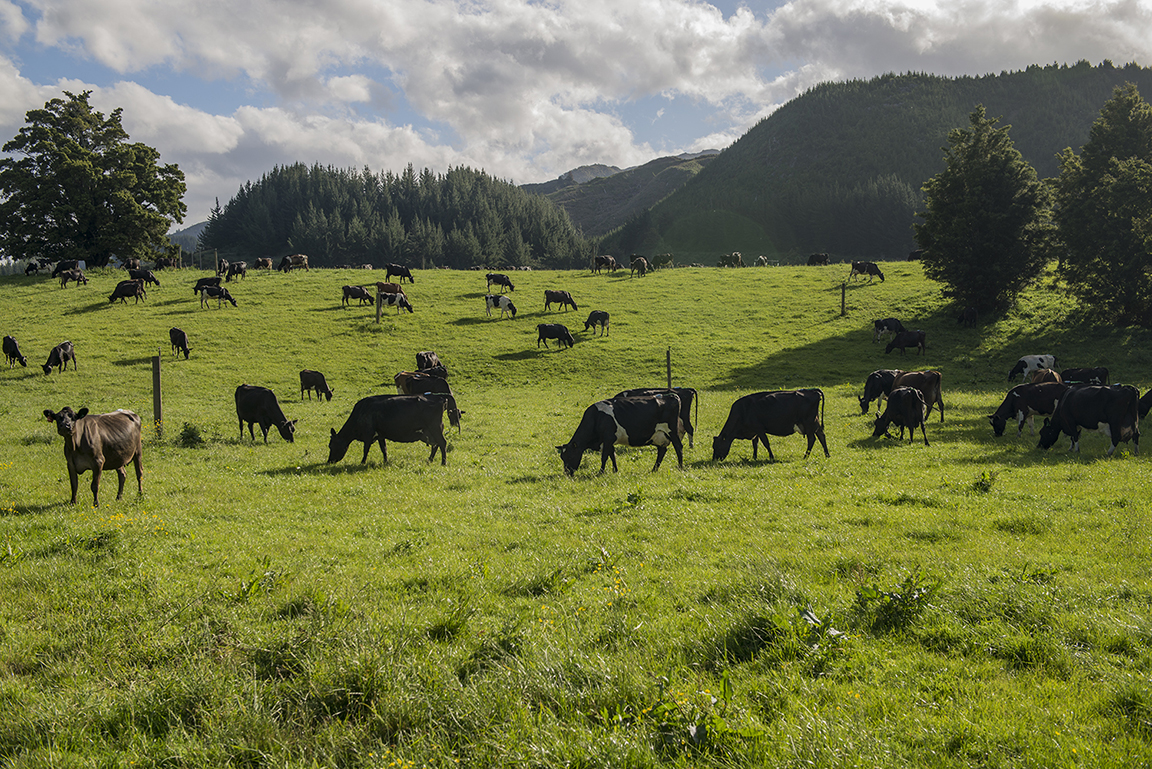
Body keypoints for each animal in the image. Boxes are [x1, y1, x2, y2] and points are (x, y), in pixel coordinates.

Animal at [327, 393, 456, 465]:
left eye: (331, 445)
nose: (329, 461)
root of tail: (440, 398)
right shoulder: (380, 435)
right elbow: (384, 449)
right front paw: (385, 461)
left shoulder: (368, 434)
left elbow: (365, 449)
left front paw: (362, 462)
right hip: (432, 431)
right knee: (436, 445)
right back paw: (430, 460)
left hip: (435, 428)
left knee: (442, 443)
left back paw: (443, 462)